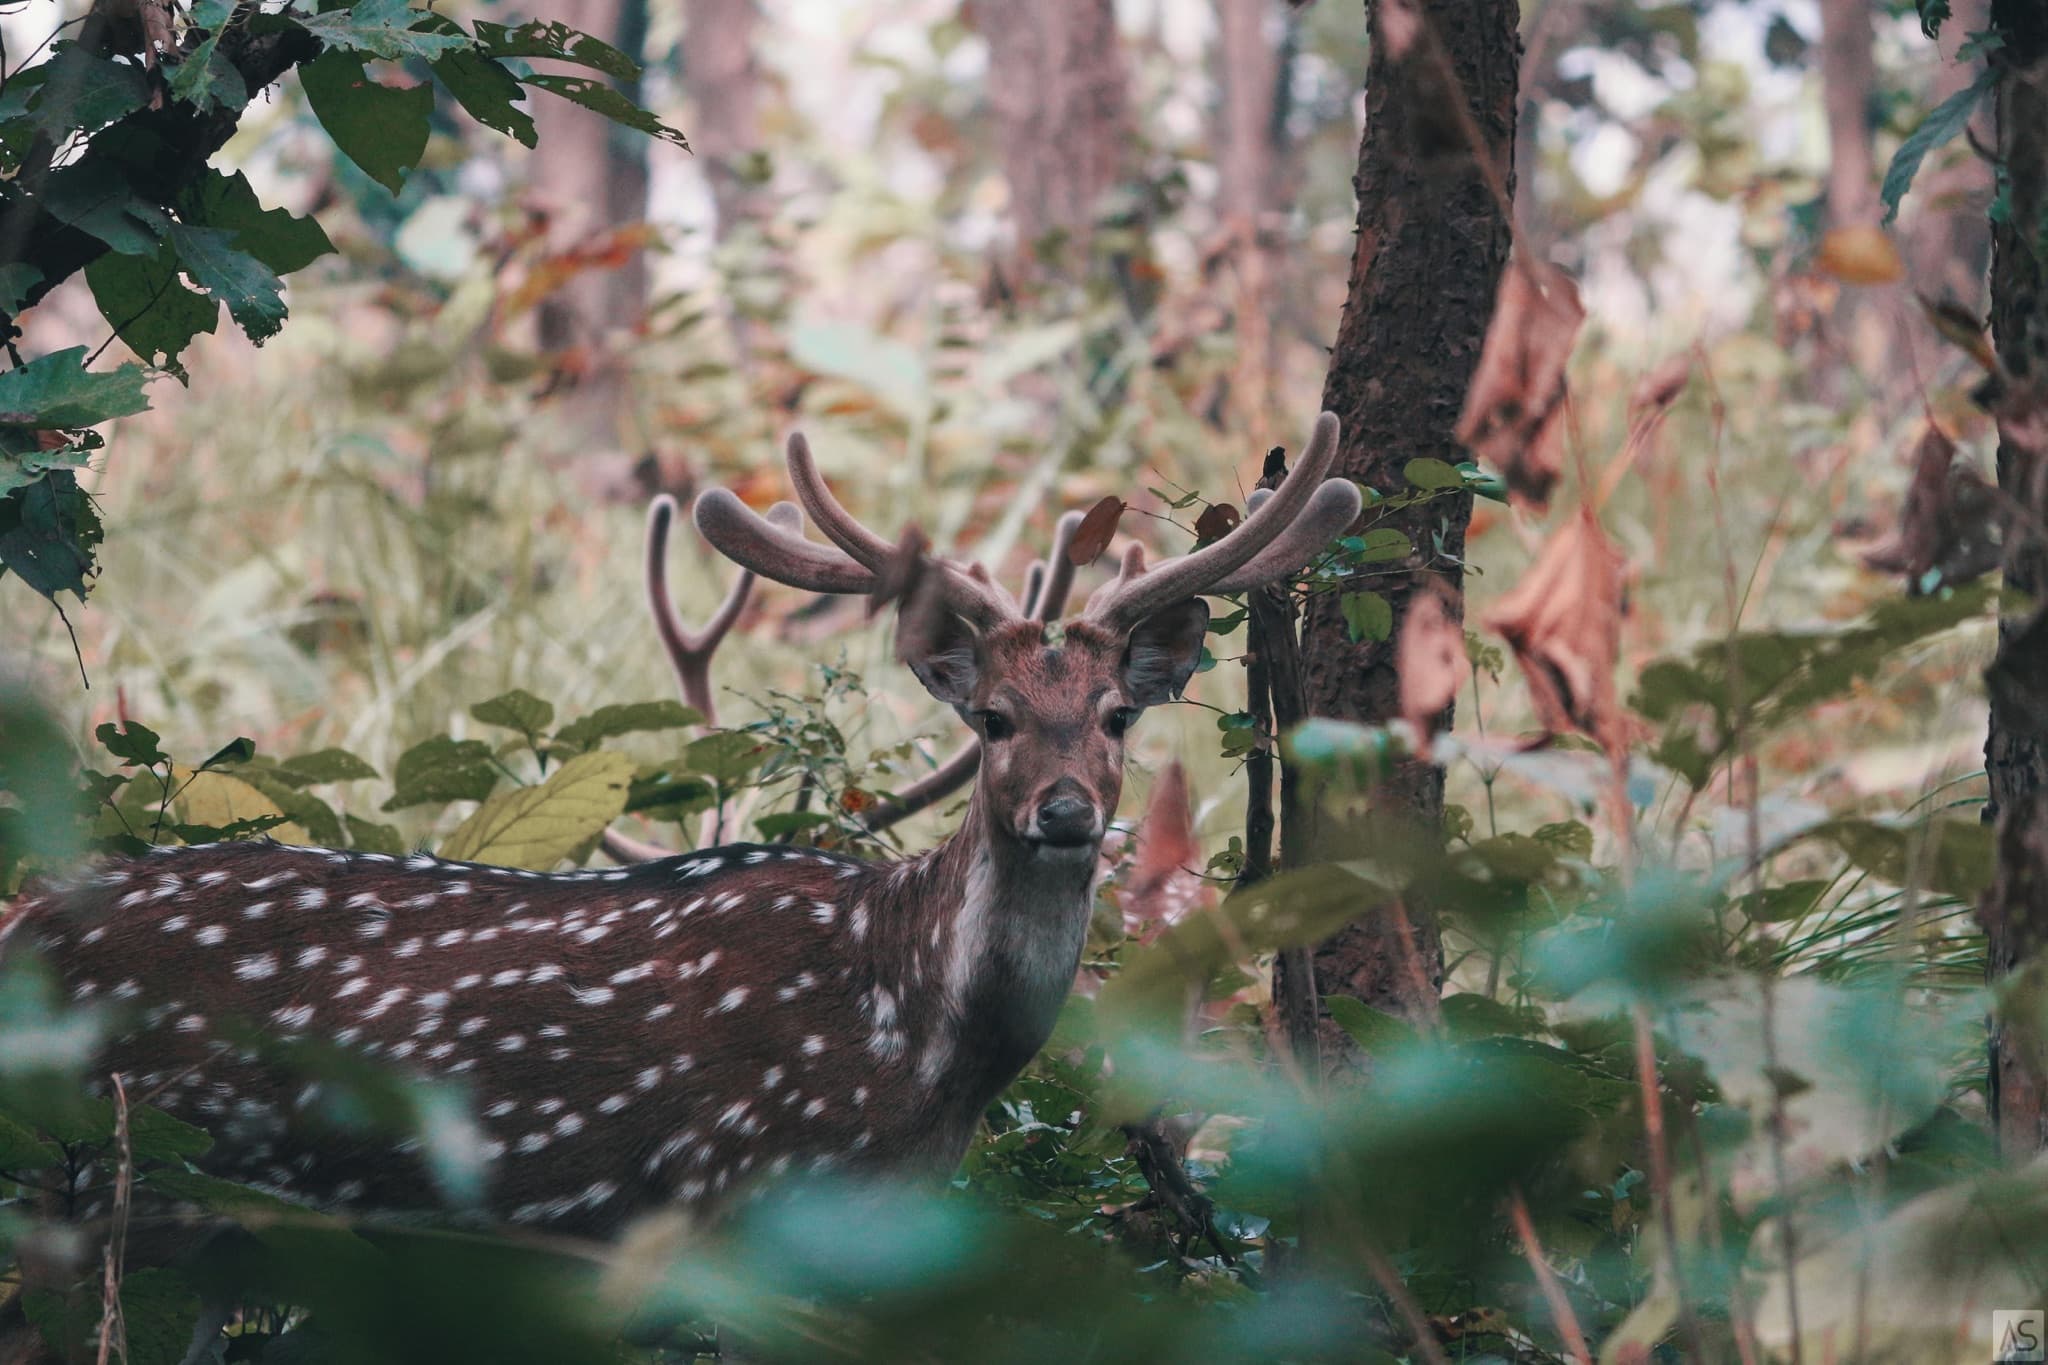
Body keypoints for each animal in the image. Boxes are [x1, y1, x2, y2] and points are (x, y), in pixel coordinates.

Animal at [0, 414, 1357, 1255]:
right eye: (993, 717)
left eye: (1119, 714)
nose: (1064, 811)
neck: (922, 1049)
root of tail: (29, 923)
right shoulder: (723, 1190)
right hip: (107, 1174)